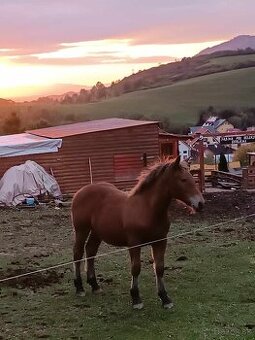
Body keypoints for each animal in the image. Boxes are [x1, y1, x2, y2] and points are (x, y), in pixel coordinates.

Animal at [71, 155, 203, 310]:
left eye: (192, 178)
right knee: (78, 253)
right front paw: (136, 298)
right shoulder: (134, 243)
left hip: (97, 232)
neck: (147, 209)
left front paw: (165, 298)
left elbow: (159, 268)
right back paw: (79, 287)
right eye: (183, 180)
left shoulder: (160, 241)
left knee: (90, 251)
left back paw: (94, 285)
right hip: (81, 229)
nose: (201, 204)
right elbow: (136, 268)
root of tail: (80, 191)